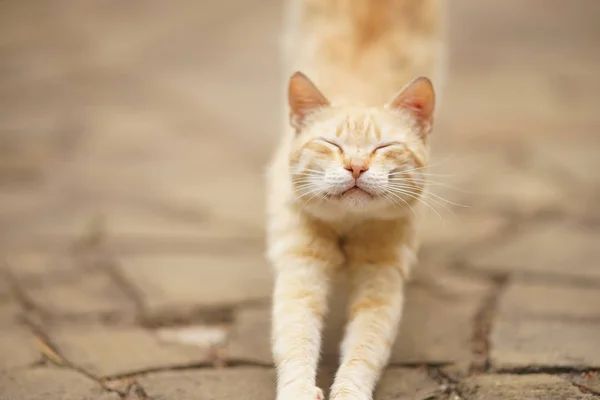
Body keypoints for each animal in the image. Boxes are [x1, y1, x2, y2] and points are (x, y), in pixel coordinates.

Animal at [268, 0, 446, 400]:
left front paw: (348, 391)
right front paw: (300, 389)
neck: (347, 226)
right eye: (331, 145)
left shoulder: (381, 281)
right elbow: (296, 336)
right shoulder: (300, 268)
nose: (356, 167)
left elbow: (365, 347)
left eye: (385, 147)